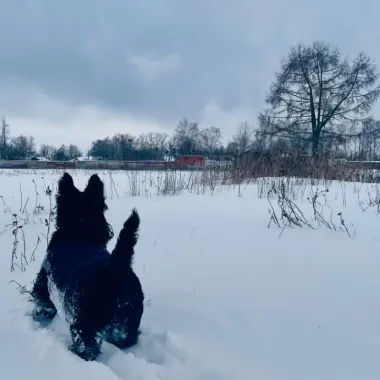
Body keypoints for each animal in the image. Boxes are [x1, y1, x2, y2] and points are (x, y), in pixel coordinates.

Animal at [30, 174, 144, 360]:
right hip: (127, 326)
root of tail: (116, 268)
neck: (79, 231)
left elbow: (42, 306)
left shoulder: (43, 291)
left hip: (84, 327)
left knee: (87, 348)